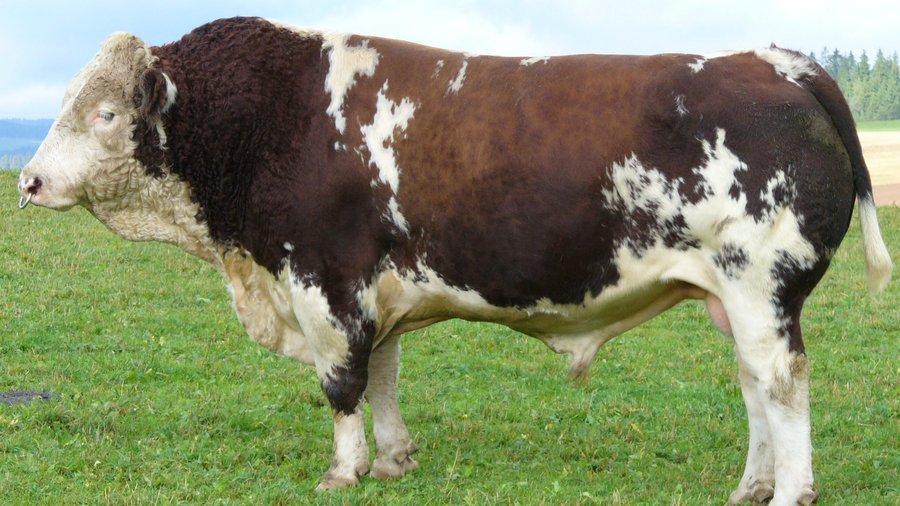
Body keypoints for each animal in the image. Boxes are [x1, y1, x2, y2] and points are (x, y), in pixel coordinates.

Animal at [17, 16, 888, 506]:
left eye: (103, 112)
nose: (27, 180)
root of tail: (773, 60)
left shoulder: (325, 282)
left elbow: (343, 385)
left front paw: (343, 472)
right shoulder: (371, 290)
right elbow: (384, 373)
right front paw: (394, 460)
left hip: (759, 286)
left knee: (780, 382)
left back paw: (792, 492)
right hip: (732, 298)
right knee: (753, 385)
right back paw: (752, 486)